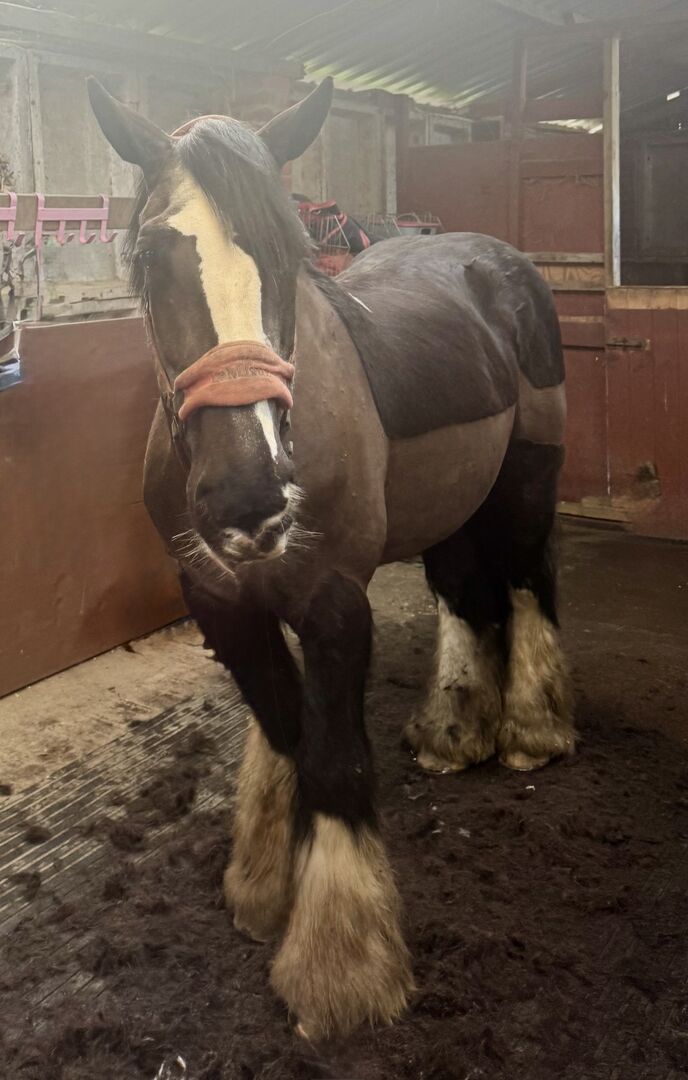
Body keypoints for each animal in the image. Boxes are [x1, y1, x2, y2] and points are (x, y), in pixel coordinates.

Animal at [88, 76, 574, 1041]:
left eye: (288, 255)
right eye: (152, 259)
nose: (248, 498)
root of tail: (494, 260)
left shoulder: (335, 604)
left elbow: (336, 761)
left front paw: (339, 969)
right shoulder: (223, 601)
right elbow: (286, 735)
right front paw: (262, 892)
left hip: (529, 479)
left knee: (528, 583)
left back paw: (534, 731)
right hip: (449, 505)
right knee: (466, 596)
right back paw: (454, 730)